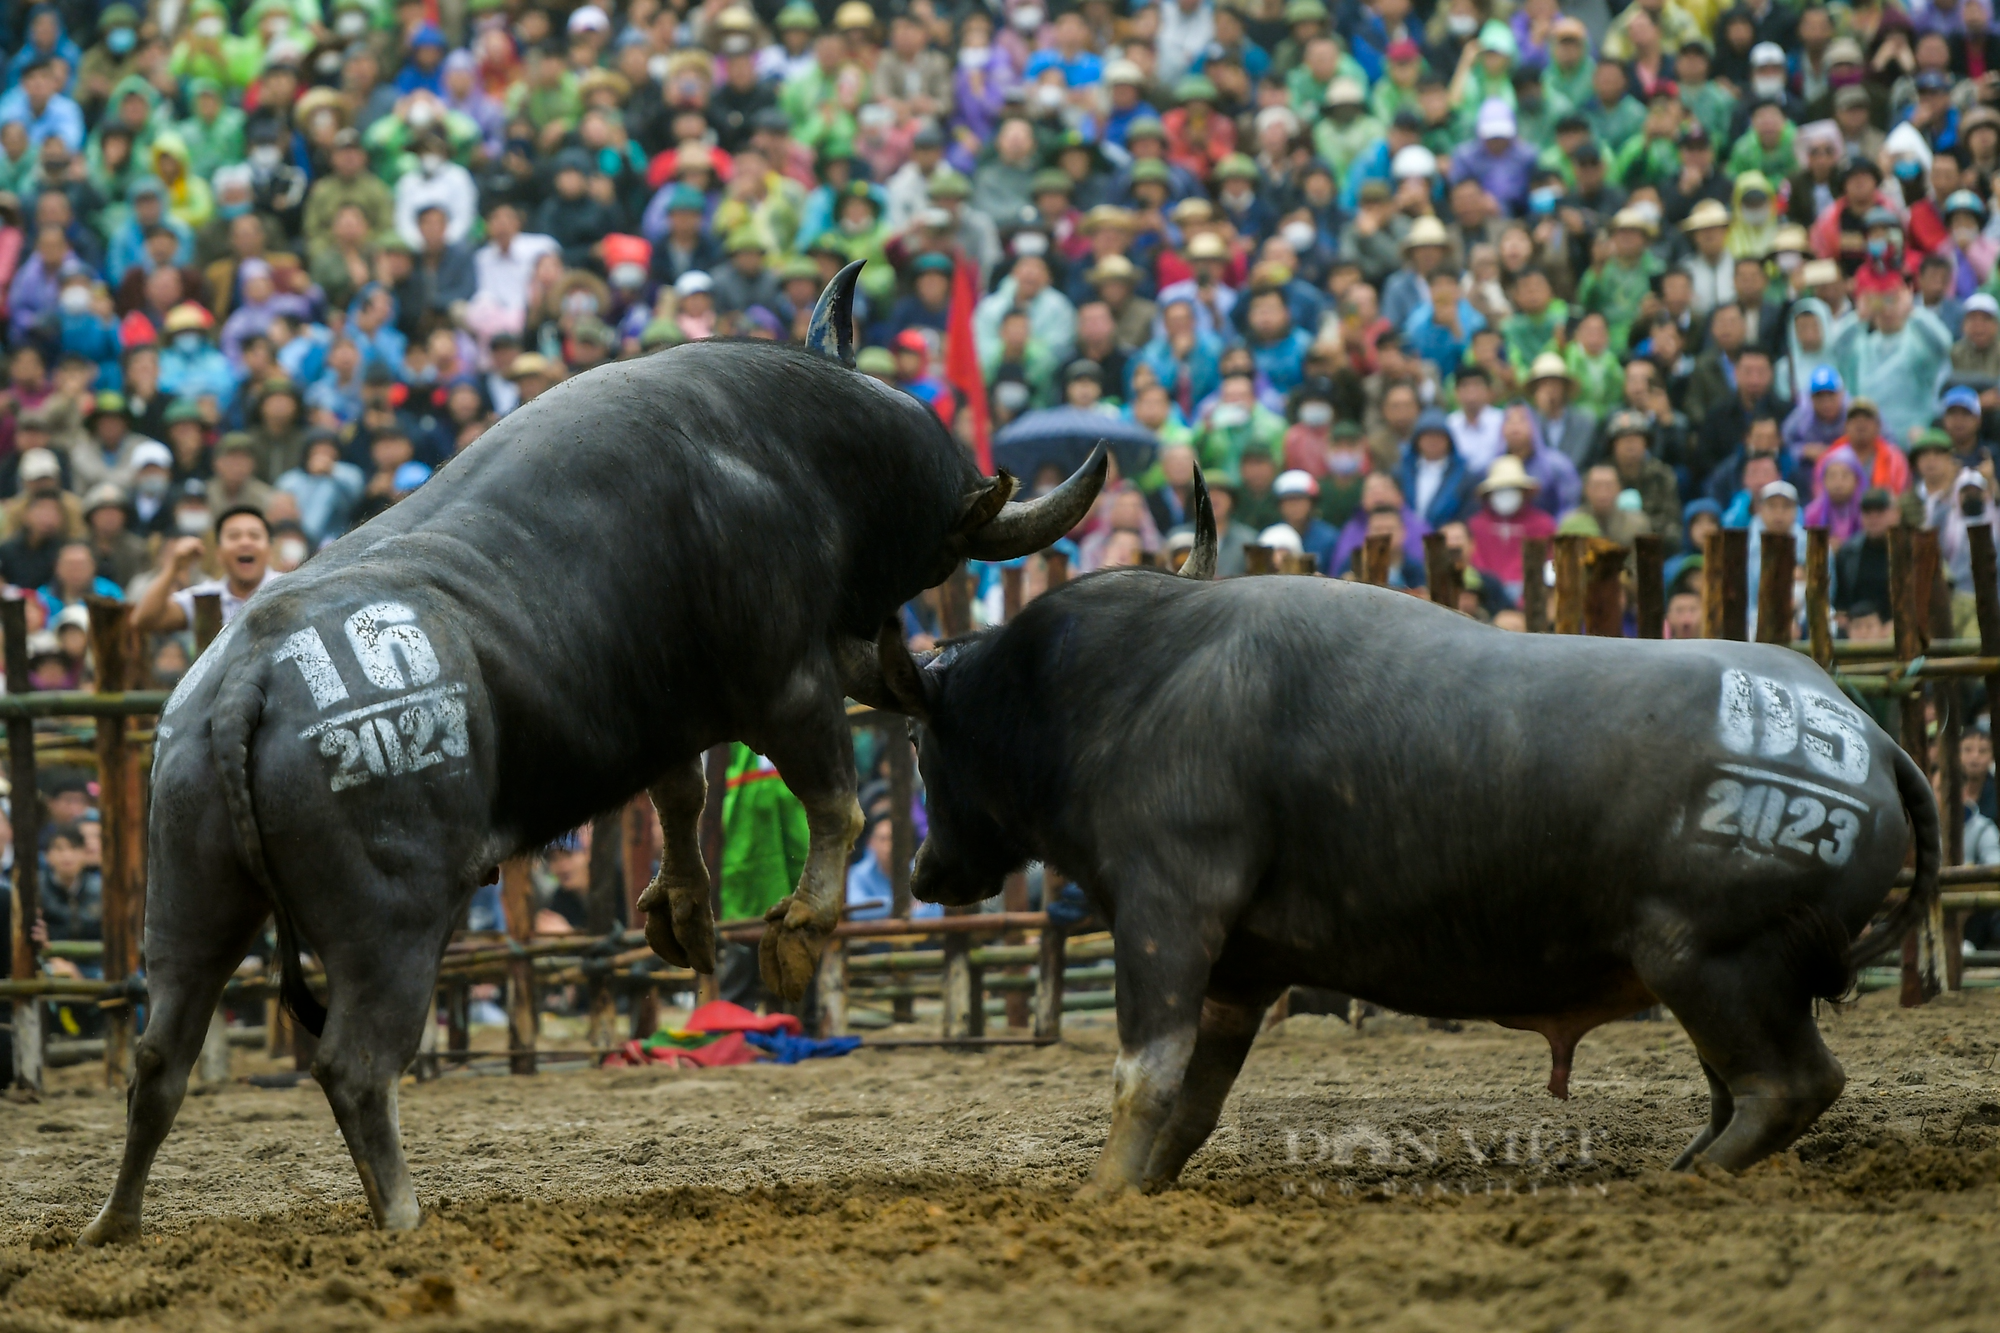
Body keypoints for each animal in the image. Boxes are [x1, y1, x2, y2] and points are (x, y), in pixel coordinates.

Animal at [74, 264, 1112, 1240]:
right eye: (935, 561)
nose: (900, 658)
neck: (786, 456)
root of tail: (246, 675)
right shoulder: (787, 682)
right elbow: (833, 801)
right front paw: (792, 931)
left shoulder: (670, 712)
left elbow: (682, 797)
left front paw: (684, 915)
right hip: (391, 921)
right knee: (354, 1063)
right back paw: (402, 1214)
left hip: (192, 897)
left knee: (160, 1057)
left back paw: (114, 1221)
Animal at [860, 474, 1936, 1192]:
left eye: (915, 737)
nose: (924, 867)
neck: (1119, 685)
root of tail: (1872, 737)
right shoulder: (1242, 969)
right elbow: (1194, 1104)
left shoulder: (1166, 916)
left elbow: (1144, 1080)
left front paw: (1098, 1198)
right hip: (1717, 977)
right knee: (1742, 1093)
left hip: (1709, 962)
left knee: (1789, 1086)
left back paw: (1681, 1181)